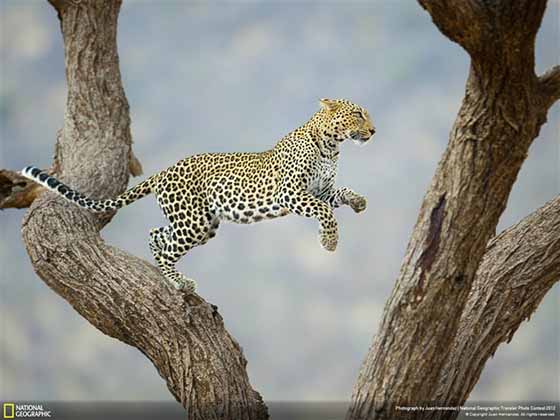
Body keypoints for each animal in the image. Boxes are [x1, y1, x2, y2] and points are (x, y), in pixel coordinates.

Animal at [24, 98, 378, 292]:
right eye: (359, 114)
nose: (374, 131)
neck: (332, 146)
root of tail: (163, 172)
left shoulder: (321, 189)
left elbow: (339, 194)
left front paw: (359, 202)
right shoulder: (290, 193)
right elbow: (325, 212)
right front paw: (329, 241)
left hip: (201, 223)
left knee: (157, 234)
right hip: (193, 222)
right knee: (167, 248)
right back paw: (178, 282)